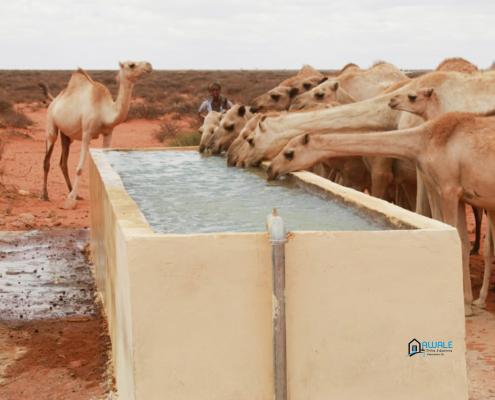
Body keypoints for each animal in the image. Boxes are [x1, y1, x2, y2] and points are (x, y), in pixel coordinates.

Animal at [43, 61, 152, 209]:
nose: (149, 65)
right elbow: (79, 168)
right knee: (47, 159)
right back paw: (45, 195)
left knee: (63, 162)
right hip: (51, 125)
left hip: (66, 134)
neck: (104, 111)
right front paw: (70, 201)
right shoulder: (86, 133)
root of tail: (54, 101)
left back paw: (75, 193)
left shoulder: (108, 133)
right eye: (131, 65)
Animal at [268, 111, 495, 314]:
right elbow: (462, 243)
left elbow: (459, 240)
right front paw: (468, 302)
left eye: (289, 153)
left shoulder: (448, 189)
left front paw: (466, 306)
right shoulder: (459, 194)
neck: (424, 142)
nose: (271, 169)